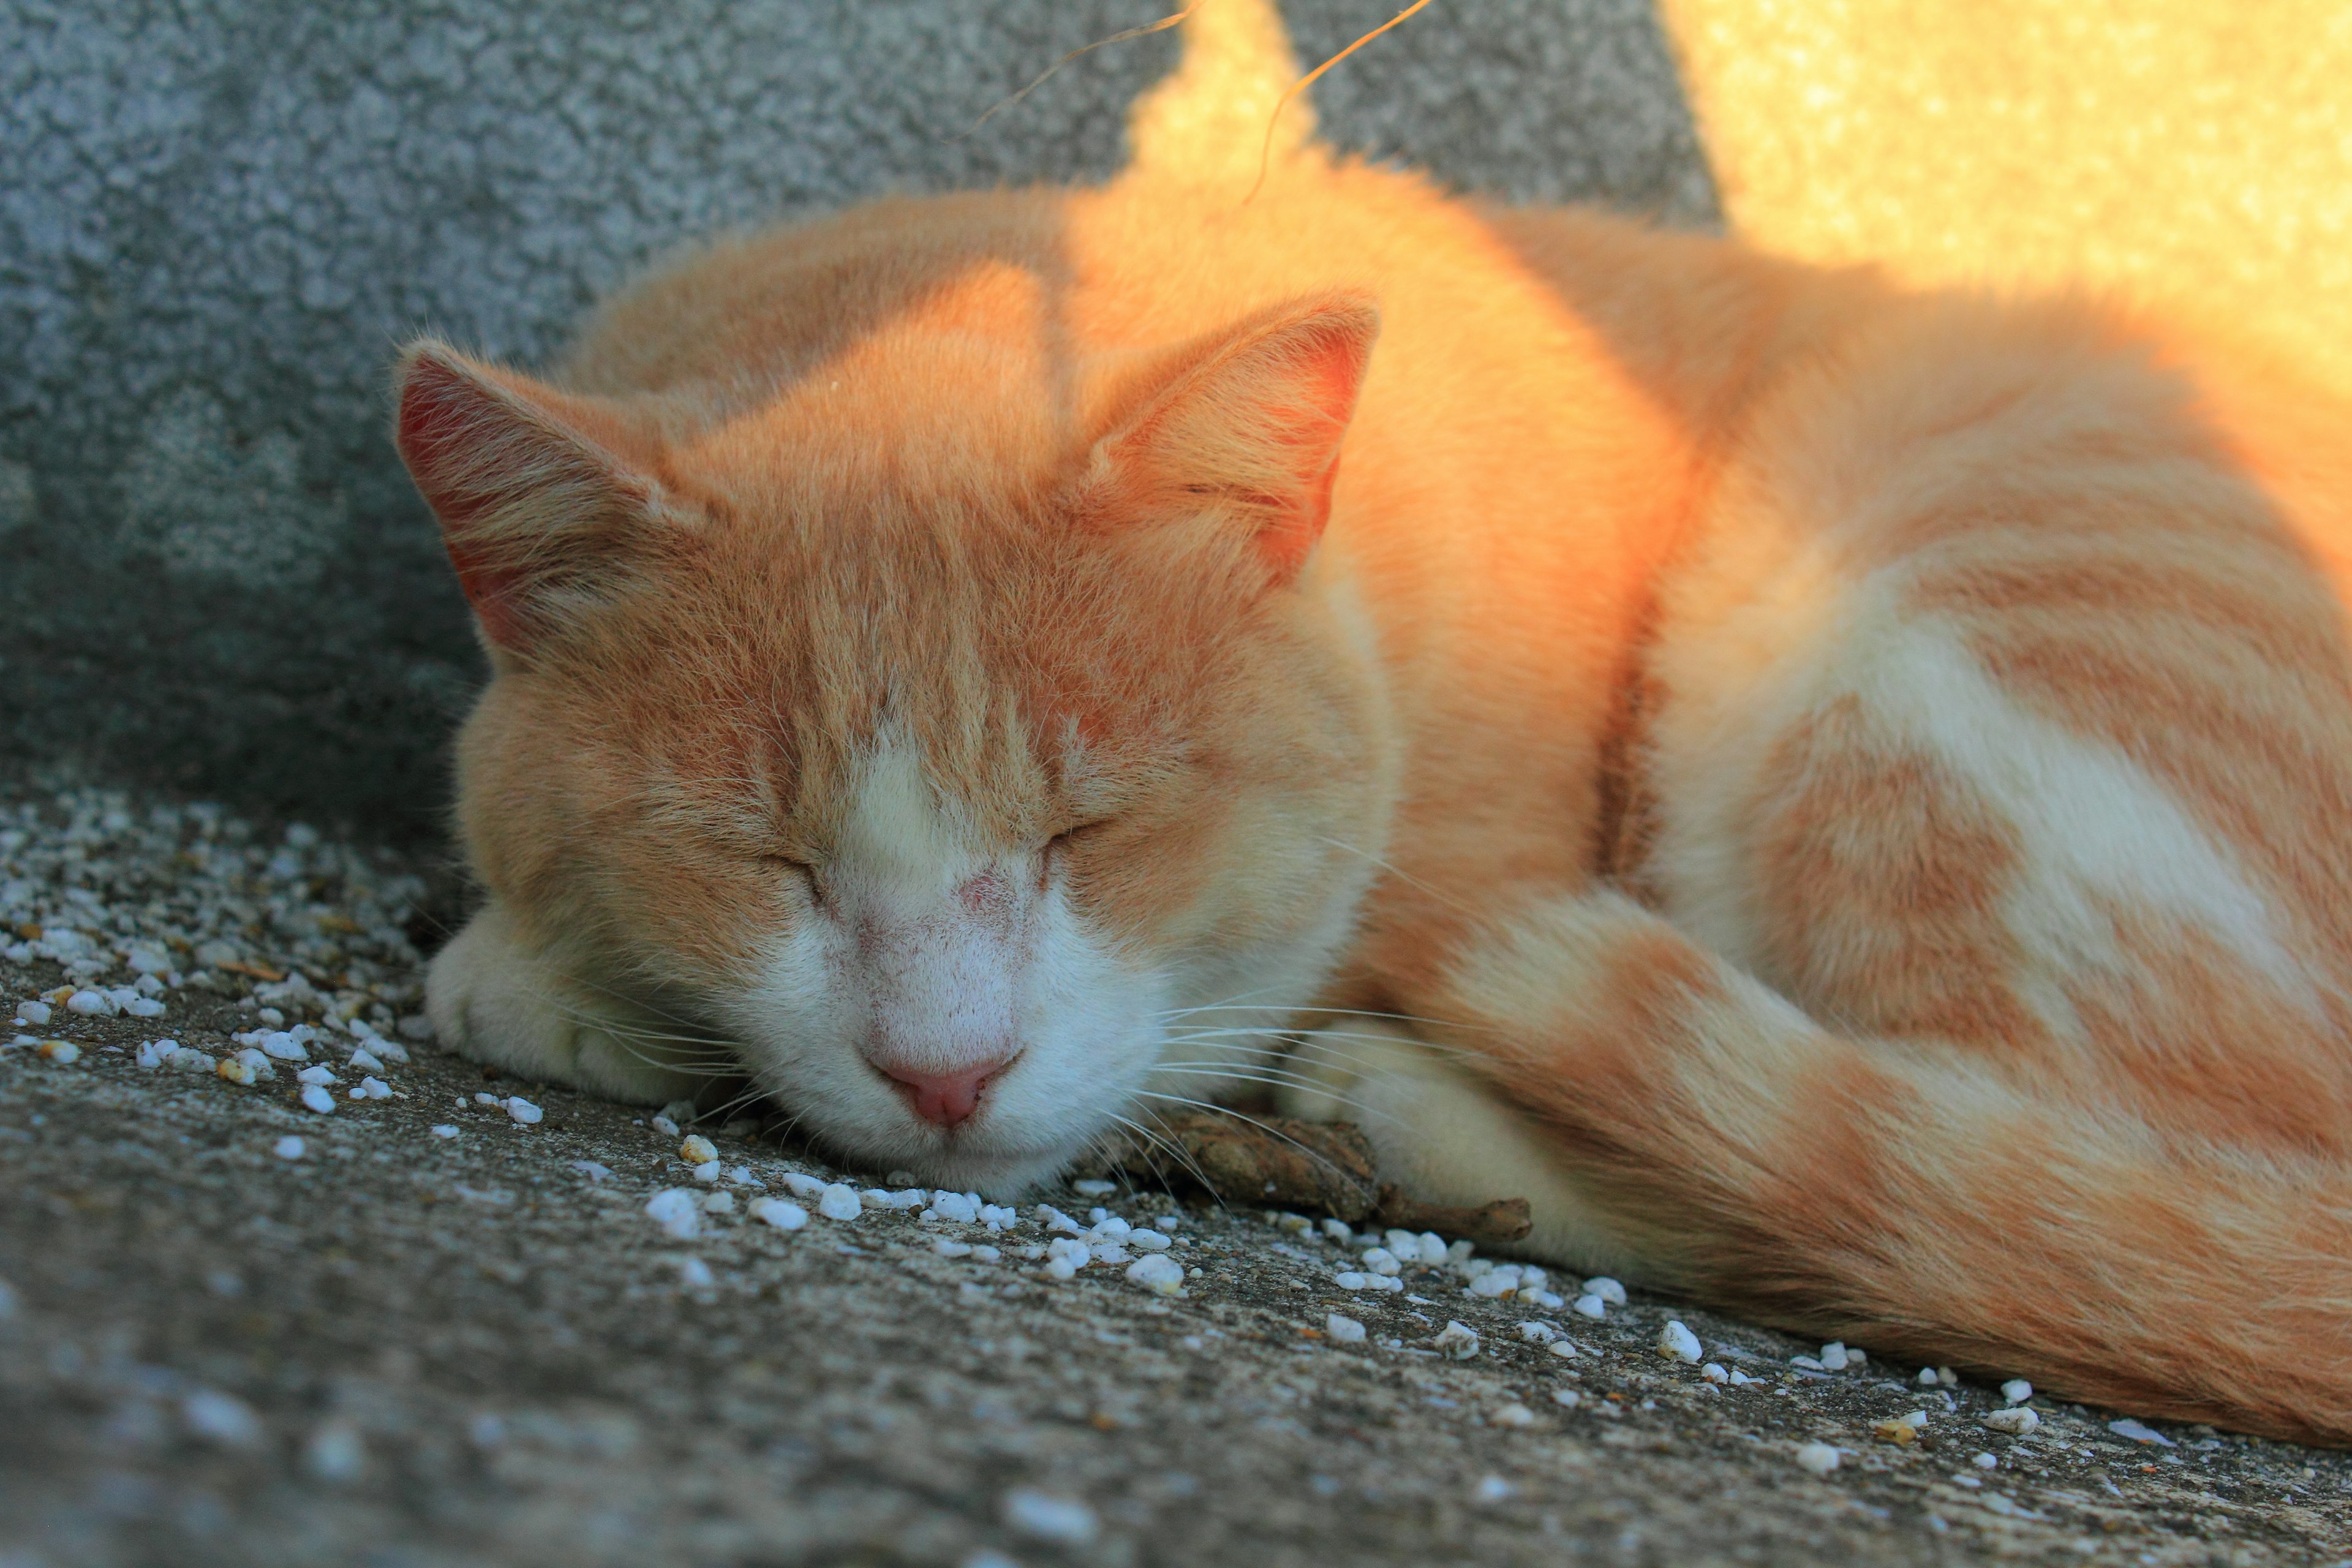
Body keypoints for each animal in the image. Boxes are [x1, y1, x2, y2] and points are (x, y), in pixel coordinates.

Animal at [399, 3, 2352, 1448]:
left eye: (1092, 831)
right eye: (761, 857)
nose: (946, 1073)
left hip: (1877, 614)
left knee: (1991, 1218)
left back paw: (1413, 1111)